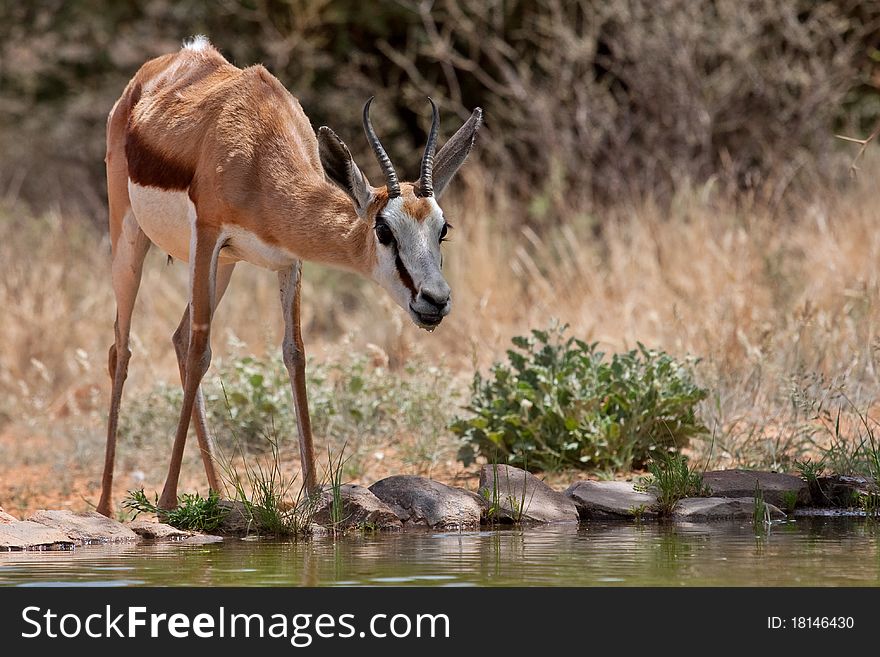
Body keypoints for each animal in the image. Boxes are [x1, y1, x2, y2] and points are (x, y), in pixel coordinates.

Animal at [98, 36, 482, 516]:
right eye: (384, 229)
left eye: (442, 229)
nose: (434, 301)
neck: (257, 152)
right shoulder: (208, 236)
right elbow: (204, 350)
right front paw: (167, 499)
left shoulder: (287, 260)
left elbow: (294, 353)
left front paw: (314, 493)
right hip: (131, 239)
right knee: (124, 349)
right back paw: (105, 507)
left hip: (223, 268)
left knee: (181, 336)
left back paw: (219, 495)